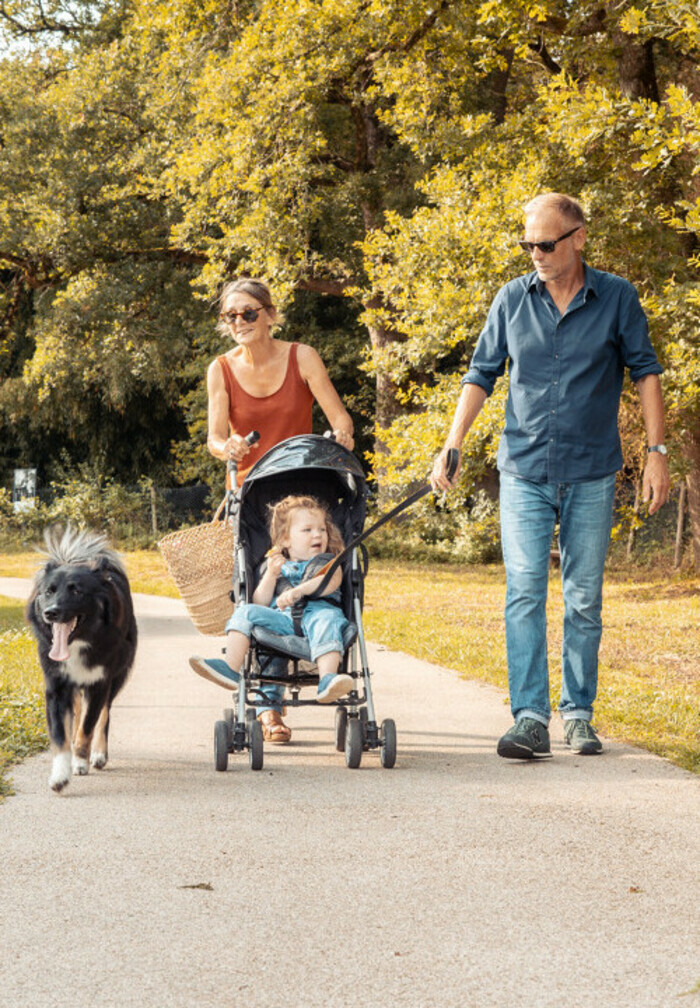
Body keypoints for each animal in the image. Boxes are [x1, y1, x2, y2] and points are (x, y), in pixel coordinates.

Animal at [27, 528, 138, 794]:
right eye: (49, 591)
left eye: (76, 591)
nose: (50, 613)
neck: (77, 643)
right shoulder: (56, 686)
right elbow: (60, 735)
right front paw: (60, 774)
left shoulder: (99, 682)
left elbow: (88, 725)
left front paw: (80, 760)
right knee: (78, 711)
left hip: (117, 675)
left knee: (104, 713)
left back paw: (98, 753)